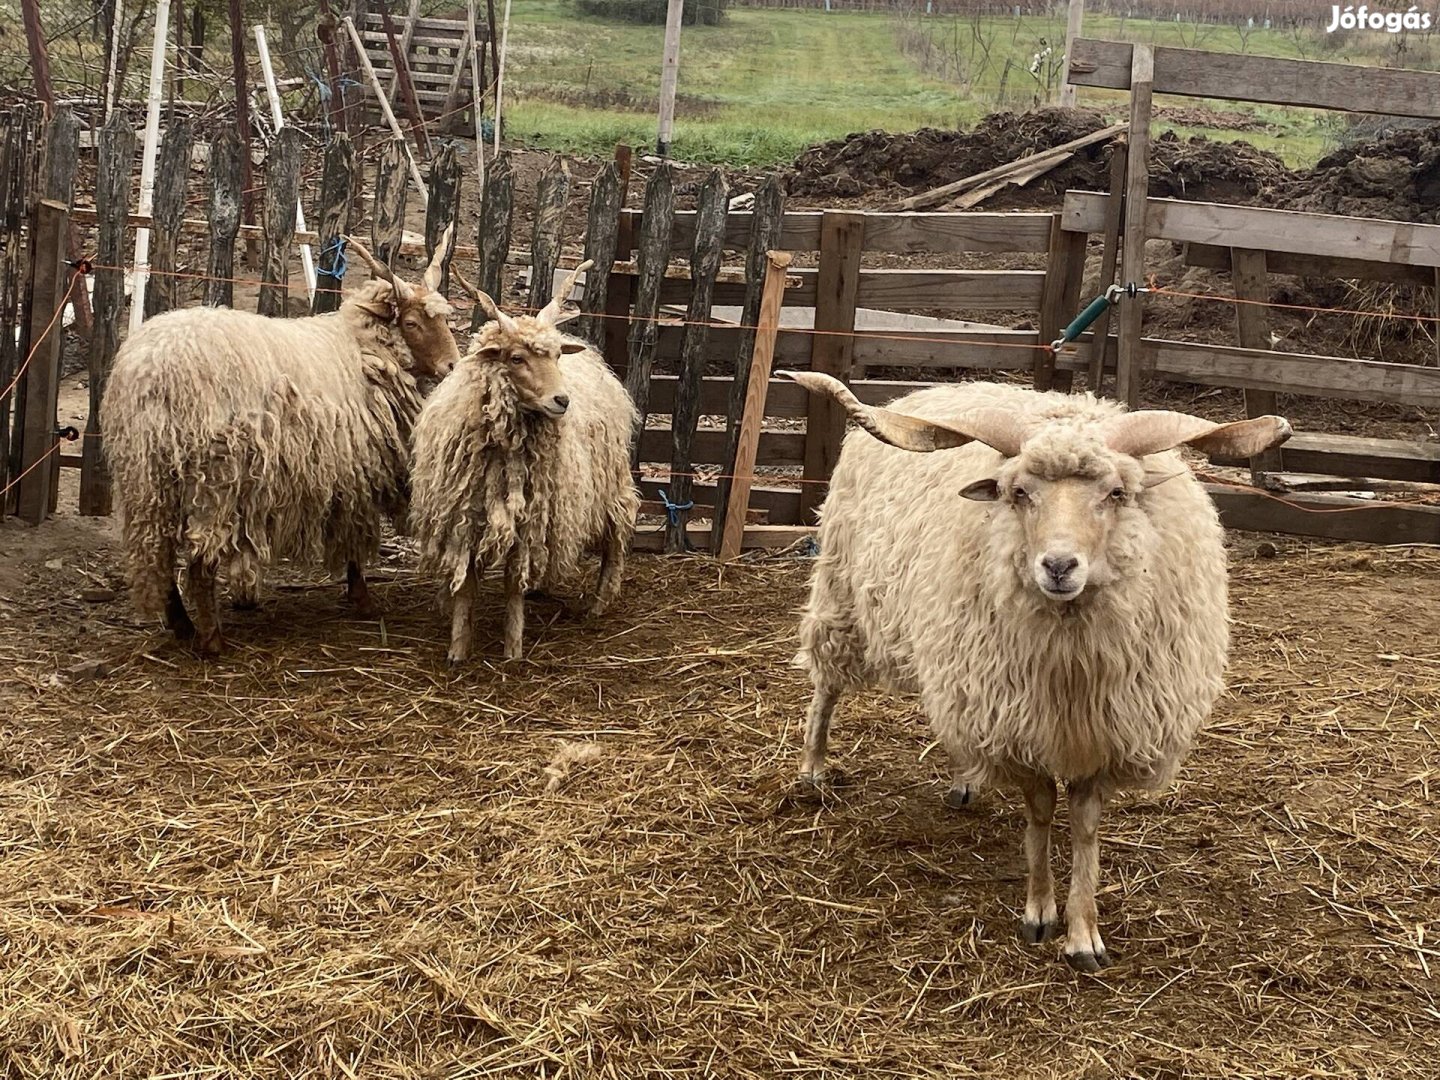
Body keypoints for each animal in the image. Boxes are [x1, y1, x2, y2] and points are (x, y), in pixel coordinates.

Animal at [102, 233, 460, 656]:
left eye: (444, 319)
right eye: (411, 322)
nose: (453, 365)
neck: (364, 348)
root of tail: (147, 373)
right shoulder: (356, 471)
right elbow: (354, 539)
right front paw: (362, 599)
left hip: (148, 483)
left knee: (158, 555)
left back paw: (182, 625)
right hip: (214, 480)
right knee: (199, 563)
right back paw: (211, 640)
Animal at [408, 264, 639, 668]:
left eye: (556, 357)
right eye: (516, 358)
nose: (562, 400)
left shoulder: (527, 519)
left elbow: (513, 583)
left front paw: (512, 649)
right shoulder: (464, 517)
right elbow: (466, 586)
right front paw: (458, 649)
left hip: (610, 480)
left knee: (617, 532)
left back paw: (600, 602)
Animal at [789, 374, 1296, 973]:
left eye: (1117, 493)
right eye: (1019, 493)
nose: (1057, 566)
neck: (1069, 661)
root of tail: (925, 391)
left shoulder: (1100, 731)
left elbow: (1084, 827)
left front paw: (1084, 934)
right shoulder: (1020, 725)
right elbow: (1039, 815)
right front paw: (1039, 913)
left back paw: (964, 779)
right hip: (842, 589)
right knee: (827, 684)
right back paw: (813, 768)